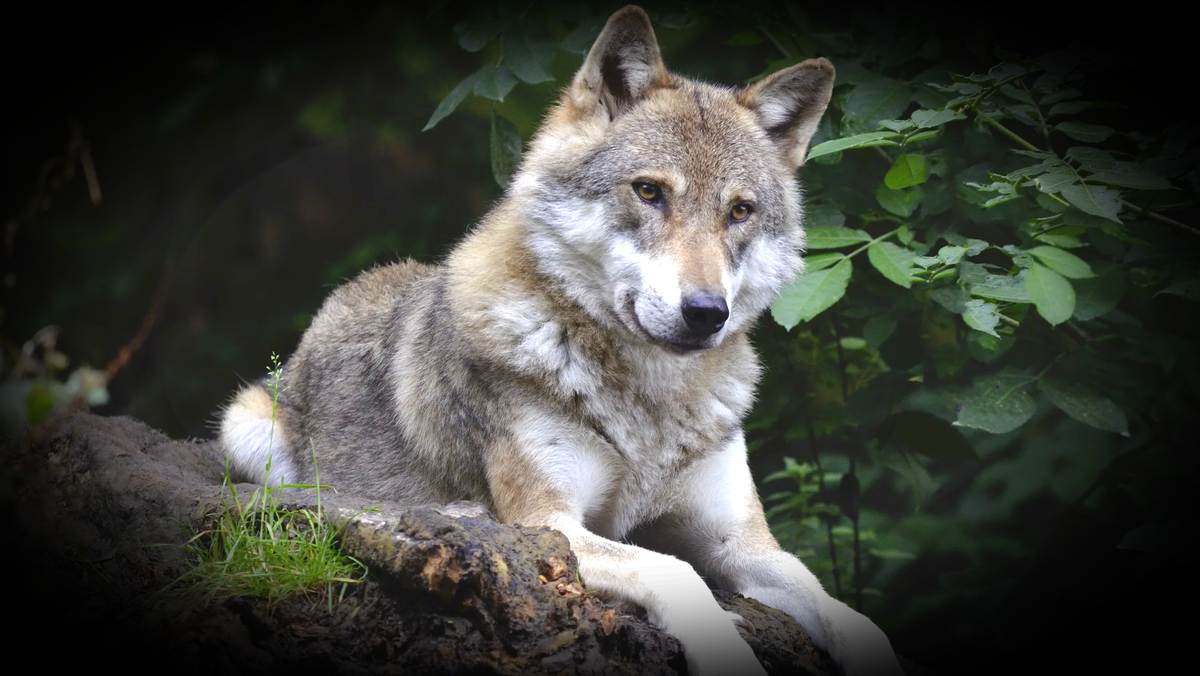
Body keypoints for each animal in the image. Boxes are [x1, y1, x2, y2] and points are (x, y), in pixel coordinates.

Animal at [218, 6, 902, 676]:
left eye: (739, 211)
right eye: (649, 191)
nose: (707, 312)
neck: (650, 405)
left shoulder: (742, 543)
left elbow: (851, 614)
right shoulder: (545, 524)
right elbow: (676, 572)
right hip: (248, 431)